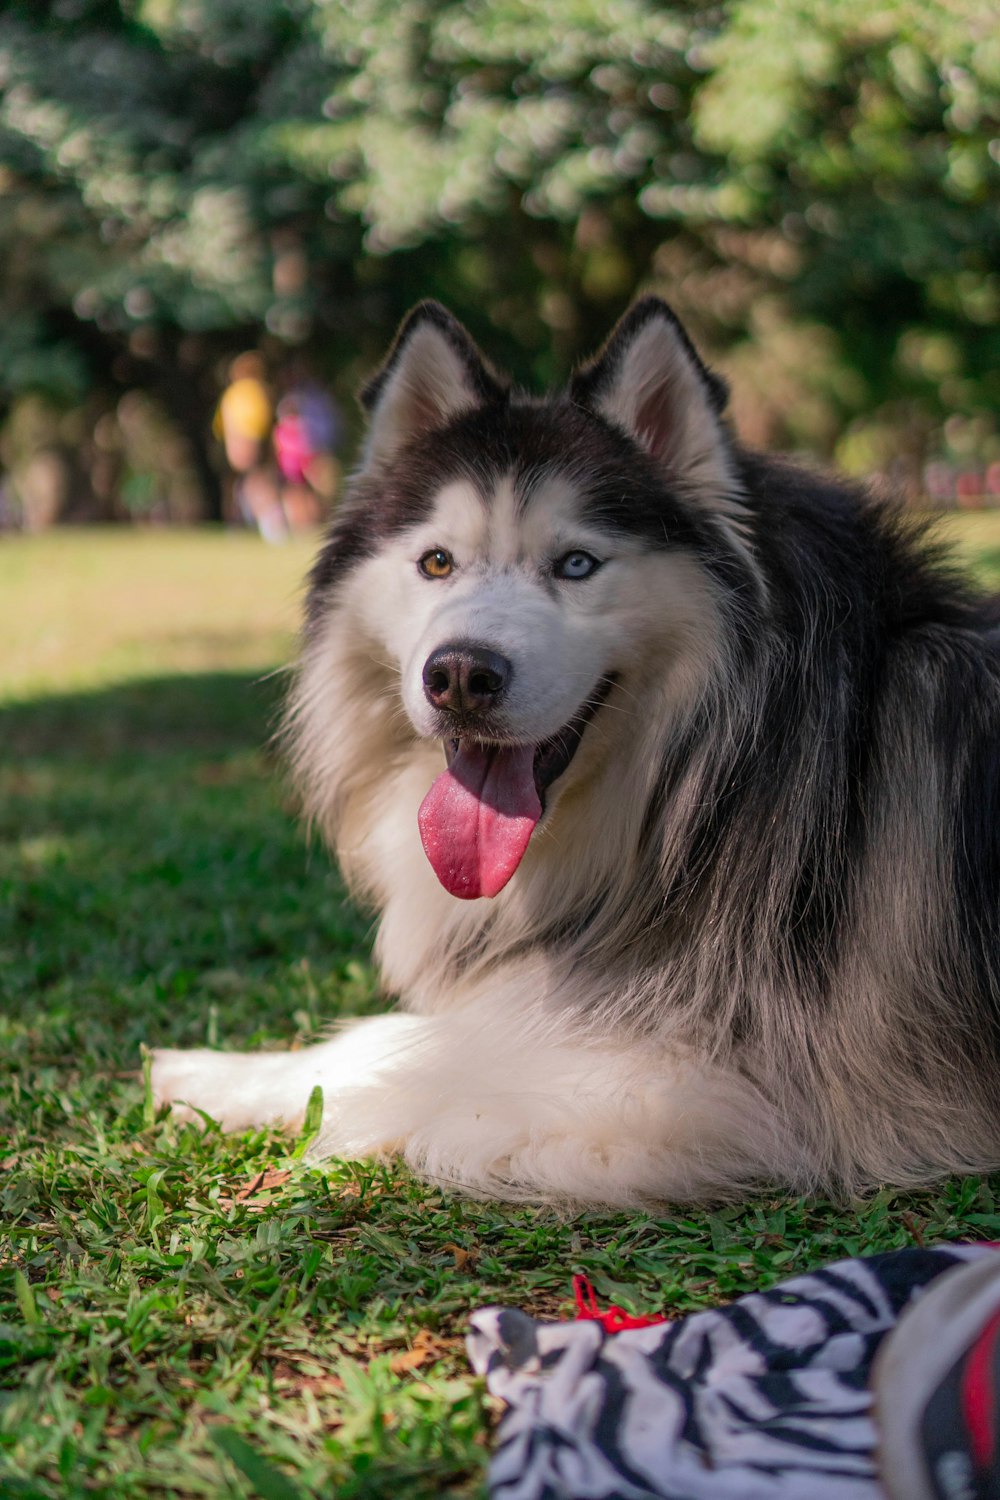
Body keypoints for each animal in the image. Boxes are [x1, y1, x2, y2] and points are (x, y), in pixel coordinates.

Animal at [150, 298, 1000, 1200]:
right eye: (437, 562)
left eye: (578, 564)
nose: (460, 675)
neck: (730, 760)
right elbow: (410, 1034)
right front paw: (216, 1072)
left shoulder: (714, 1082)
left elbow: (430, 1057)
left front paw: (286, 1101)